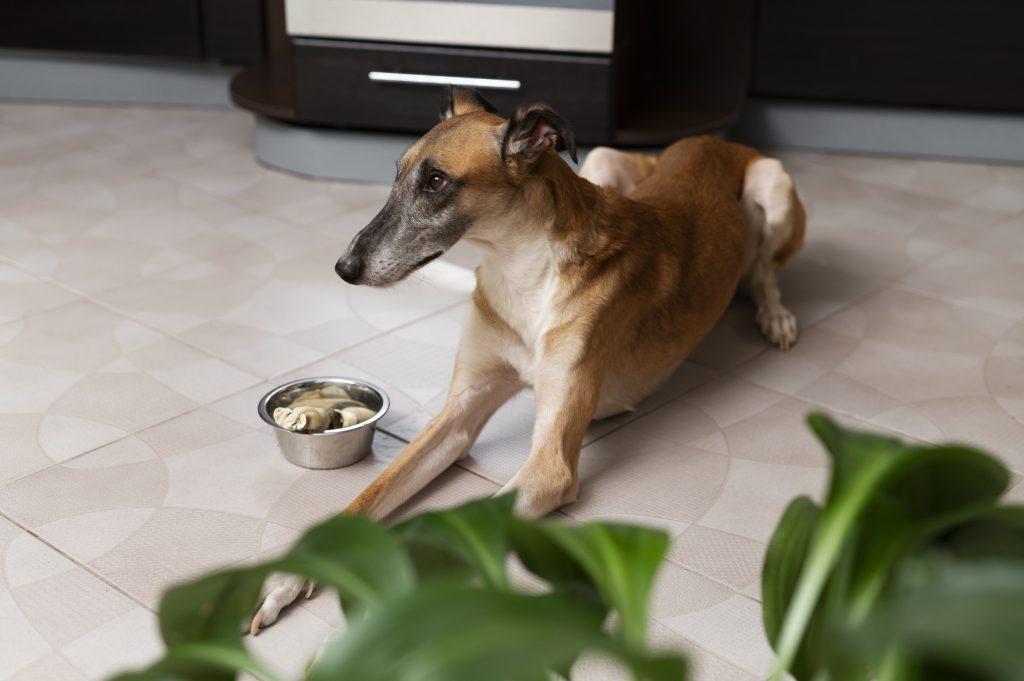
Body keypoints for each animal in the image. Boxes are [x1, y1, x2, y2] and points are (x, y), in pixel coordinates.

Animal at [249, 84, 806, 630]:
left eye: (436, 181)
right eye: (398, 174)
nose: (345, 268)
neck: (523, 275)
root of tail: (710, 141)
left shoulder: (550, 466)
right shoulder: (456, 415)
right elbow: (367, 496)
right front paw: (289, 577)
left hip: (772, 186)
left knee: (765, 271)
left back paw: (776, 314)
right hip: (605, 160)